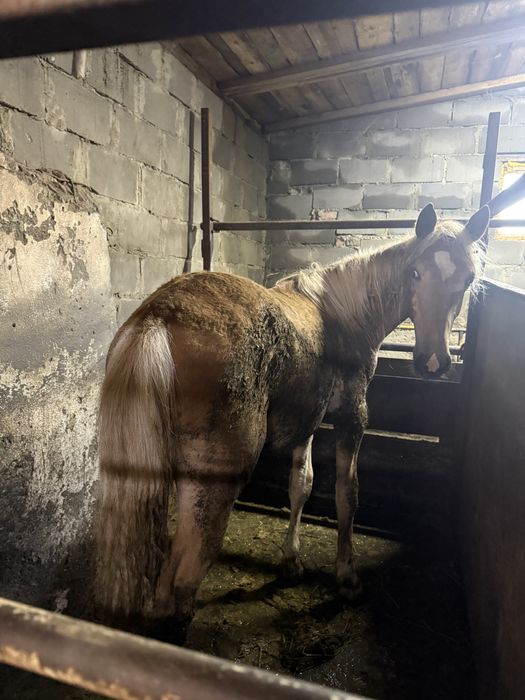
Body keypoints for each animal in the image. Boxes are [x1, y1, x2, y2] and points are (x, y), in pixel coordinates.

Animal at [95, 202, 489, 641]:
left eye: (467, 279)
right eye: (415, 273)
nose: (433, 363)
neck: (342, 314)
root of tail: (158, 317)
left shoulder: (307, 420)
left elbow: (301, 484)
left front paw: (291, 561)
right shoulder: (352, 419)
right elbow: (346, 494)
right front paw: (347, 579)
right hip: (213, 485)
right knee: (180, 575)